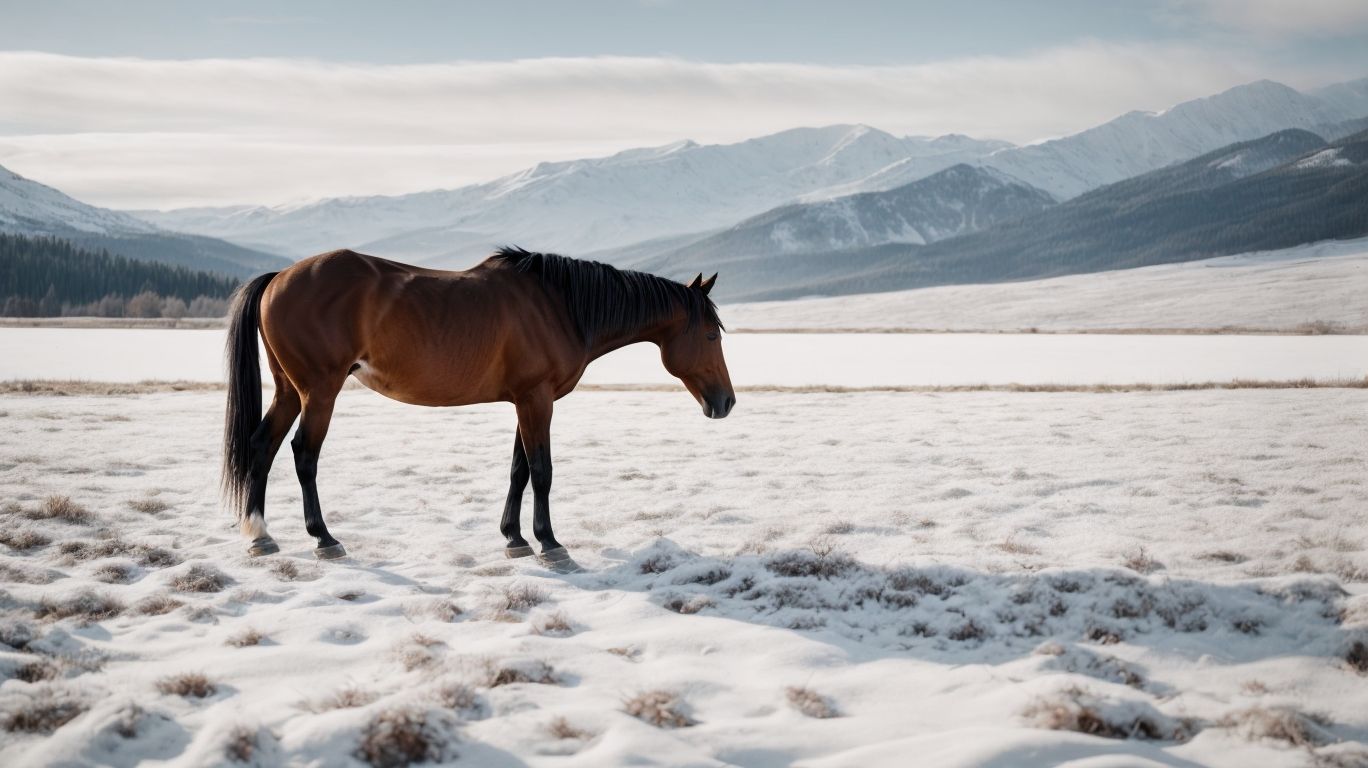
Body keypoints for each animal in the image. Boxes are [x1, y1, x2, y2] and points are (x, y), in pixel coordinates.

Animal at [220, 246, 735, 571]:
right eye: (712, 335)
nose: (726, 402)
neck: (560, 307)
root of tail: (278, 278)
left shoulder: (528, 400)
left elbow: (519, 470)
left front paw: (515, 538)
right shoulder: (537, 401)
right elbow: (542, 471)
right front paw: (550, 543)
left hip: (290, 391)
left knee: (262, 446)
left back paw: (260, 535)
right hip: (320, 392)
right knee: (303, 454)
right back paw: (324, 539)